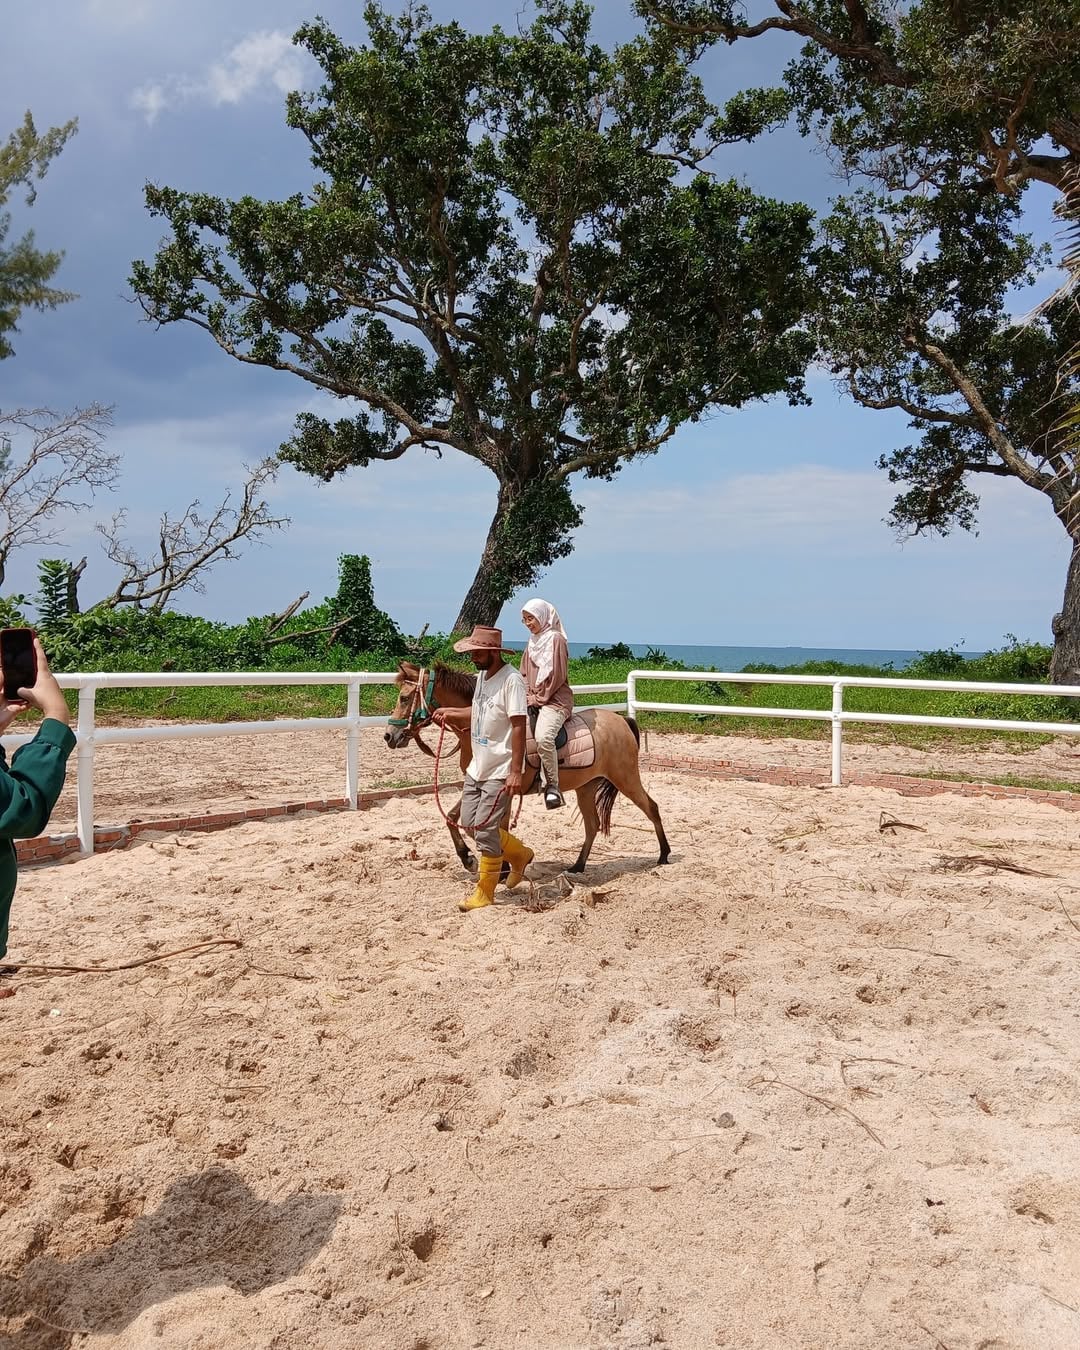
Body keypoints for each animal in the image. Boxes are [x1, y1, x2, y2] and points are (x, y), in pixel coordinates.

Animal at [384, 661, 670, 875]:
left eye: (404, 697)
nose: (389, 736)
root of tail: (622, 721)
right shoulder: (478, 786)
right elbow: (456, 819)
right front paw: (470, 859)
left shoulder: (504, 791)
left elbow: (494, 827)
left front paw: (501, 868)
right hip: (586, 787)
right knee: (592, 825)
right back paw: (577, 866)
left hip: (626, 778)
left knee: (651, 808)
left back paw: (664, 855)